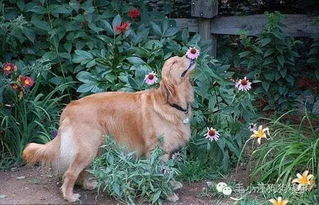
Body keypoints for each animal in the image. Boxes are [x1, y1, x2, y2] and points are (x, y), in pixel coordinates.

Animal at [22, 54, 196, 202]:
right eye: (174, 62)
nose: (190, 55)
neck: (171, 103)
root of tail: (69, 107)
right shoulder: (158, 151)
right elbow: (162, 175)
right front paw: (169, 194)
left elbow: (168, 172)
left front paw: (172, 185)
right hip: (87, 149)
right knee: (70, 173)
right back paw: (69, 196)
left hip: (95, 148)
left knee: (81, 171)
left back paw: (88, 184)